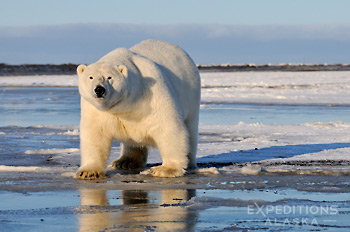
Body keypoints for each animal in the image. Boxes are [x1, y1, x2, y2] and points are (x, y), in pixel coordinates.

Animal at [75, 39, 201, 179]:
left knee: (190, 128)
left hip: (191, 97)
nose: (99, 89)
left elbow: (167, 126)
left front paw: (166, 169)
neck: (126, 104)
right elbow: (95, 134)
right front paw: (88, 172)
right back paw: (124, 162)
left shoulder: (151, 95)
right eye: (90, 77)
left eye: (109, 77)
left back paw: (189, 162)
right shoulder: (96, 109)